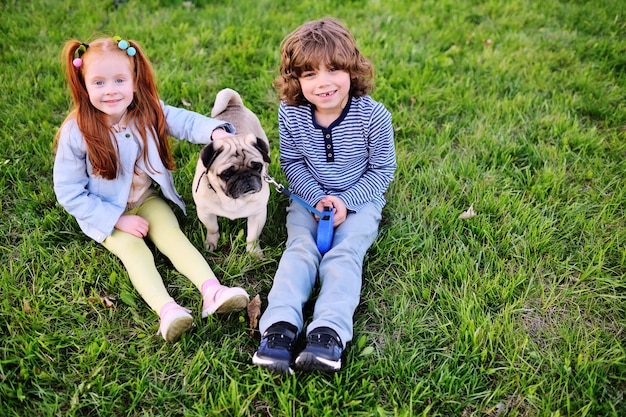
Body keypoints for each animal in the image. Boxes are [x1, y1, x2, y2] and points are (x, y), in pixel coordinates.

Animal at [190, 88, 268, 256]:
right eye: (227, 174)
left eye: (257, 167)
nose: (246, 176)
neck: (233, 201)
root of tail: (234, 104)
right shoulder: (205, 212)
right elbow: (213, 228)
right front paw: (211, 243)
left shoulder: (258, 214)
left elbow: (252, 236)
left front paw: (253, 253)